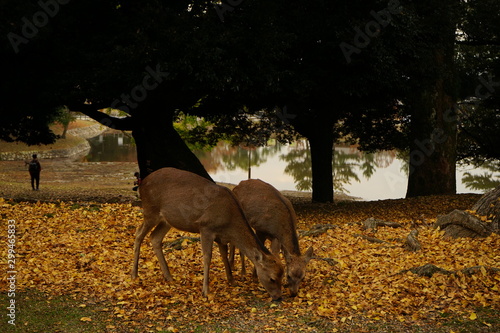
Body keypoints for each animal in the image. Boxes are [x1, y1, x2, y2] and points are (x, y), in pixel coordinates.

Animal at [131, 167, 284, 300]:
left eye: (282, 275)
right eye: (272, 278)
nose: (278, 297)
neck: (229, 222)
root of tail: (141, 183)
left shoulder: (222, 237)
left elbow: (224, 256)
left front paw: (231, 280)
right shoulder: (205, 227)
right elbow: (207, 257)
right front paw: (205, 291)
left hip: (167, 220)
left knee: (155, 238)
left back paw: (169, 276)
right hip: (150, 210)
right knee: (138, 234)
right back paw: (134, 274)